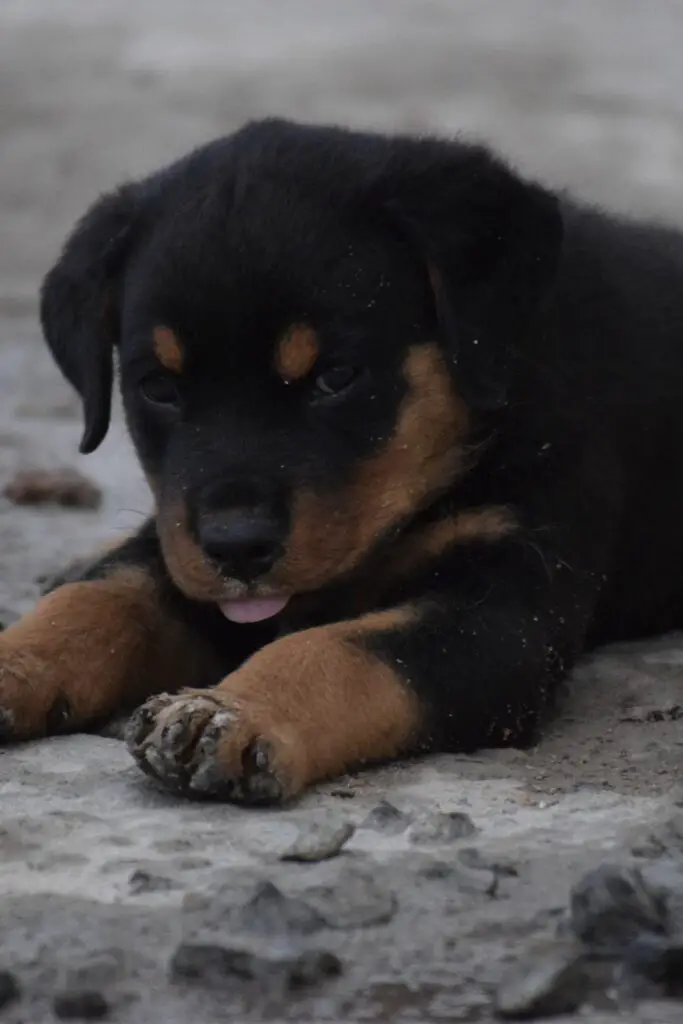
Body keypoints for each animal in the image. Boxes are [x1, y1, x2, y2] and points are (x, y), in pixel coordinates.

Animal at [1, 119, 683, 802]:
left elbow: (344, 649)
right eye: (158, 387)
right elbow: (96, 599)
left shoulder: (507, 608)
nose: (237, 547)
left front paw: (231, 712)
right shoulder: (178, 547)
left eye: (335, 376)